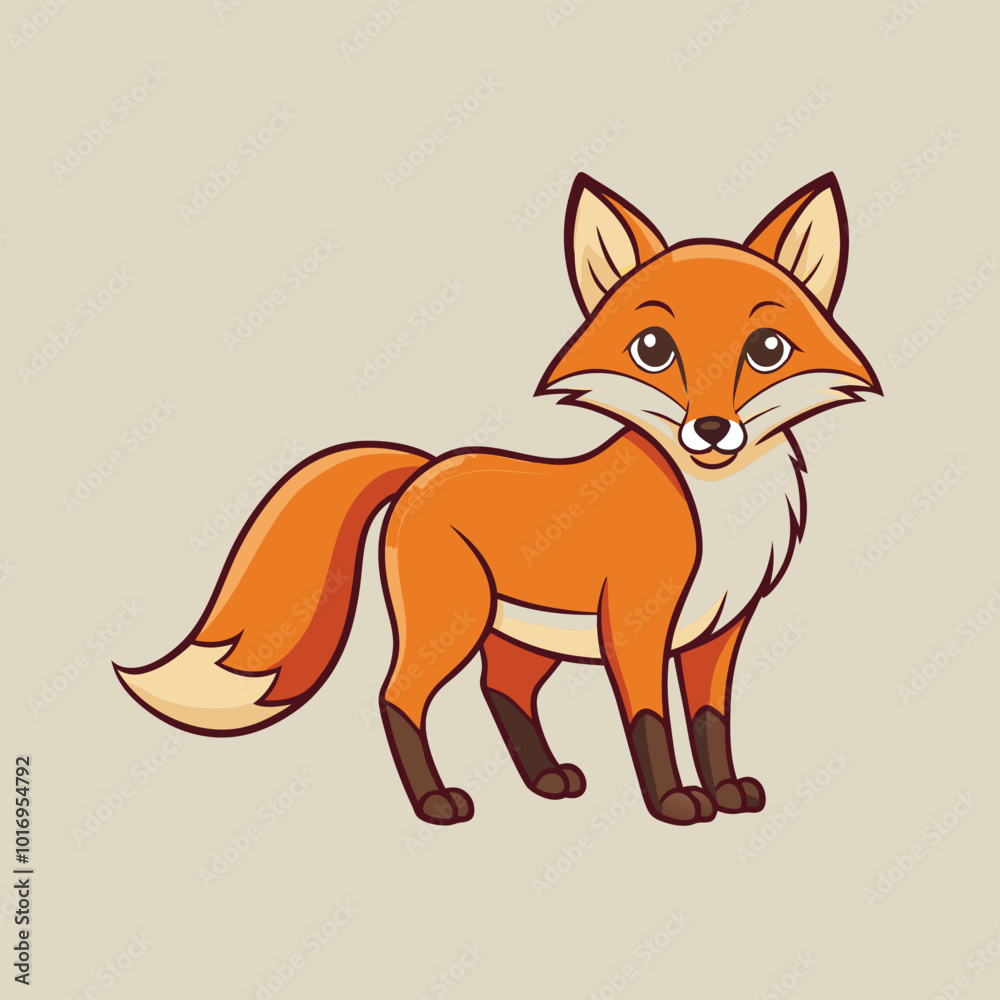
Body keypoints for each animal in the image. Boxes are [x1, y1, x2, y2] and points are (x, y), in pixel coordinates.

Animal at [116, 172, 880, 826]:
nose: (713, 429)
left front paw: (725, 793)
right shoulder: (635, 625)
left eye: (768, 349)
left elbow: (711, 722)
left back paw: (545, 780)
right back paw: (436, 803)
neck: (721, 511)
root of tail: (426, 468)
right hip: (451, 622)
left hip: (518, 635)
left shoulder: (719, 633)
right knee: (399, 695)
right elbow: (651, 722)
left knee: (502, 689)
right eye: (653, 350)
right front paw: (673, 803)